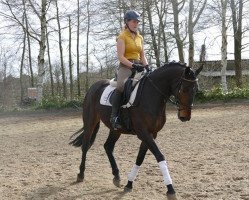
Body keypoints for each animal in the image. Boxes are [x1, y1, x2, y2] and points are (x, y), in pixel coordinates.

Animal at [69, 62, 203, 197]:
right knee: (85, 146)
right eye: (183, 89)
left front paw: (129, 184)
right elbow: (159, 156)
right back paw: (81, 174)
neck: (152, 95)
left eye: (196, 89)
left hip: (115, 129)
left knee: (108, 146)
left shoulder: (151, 134)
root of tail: (94, 86)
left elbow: (140, 158)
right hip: (90, 122)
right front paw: (170, 189)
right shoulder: (143, 132)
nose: (185, 117)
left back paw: (116, 176)